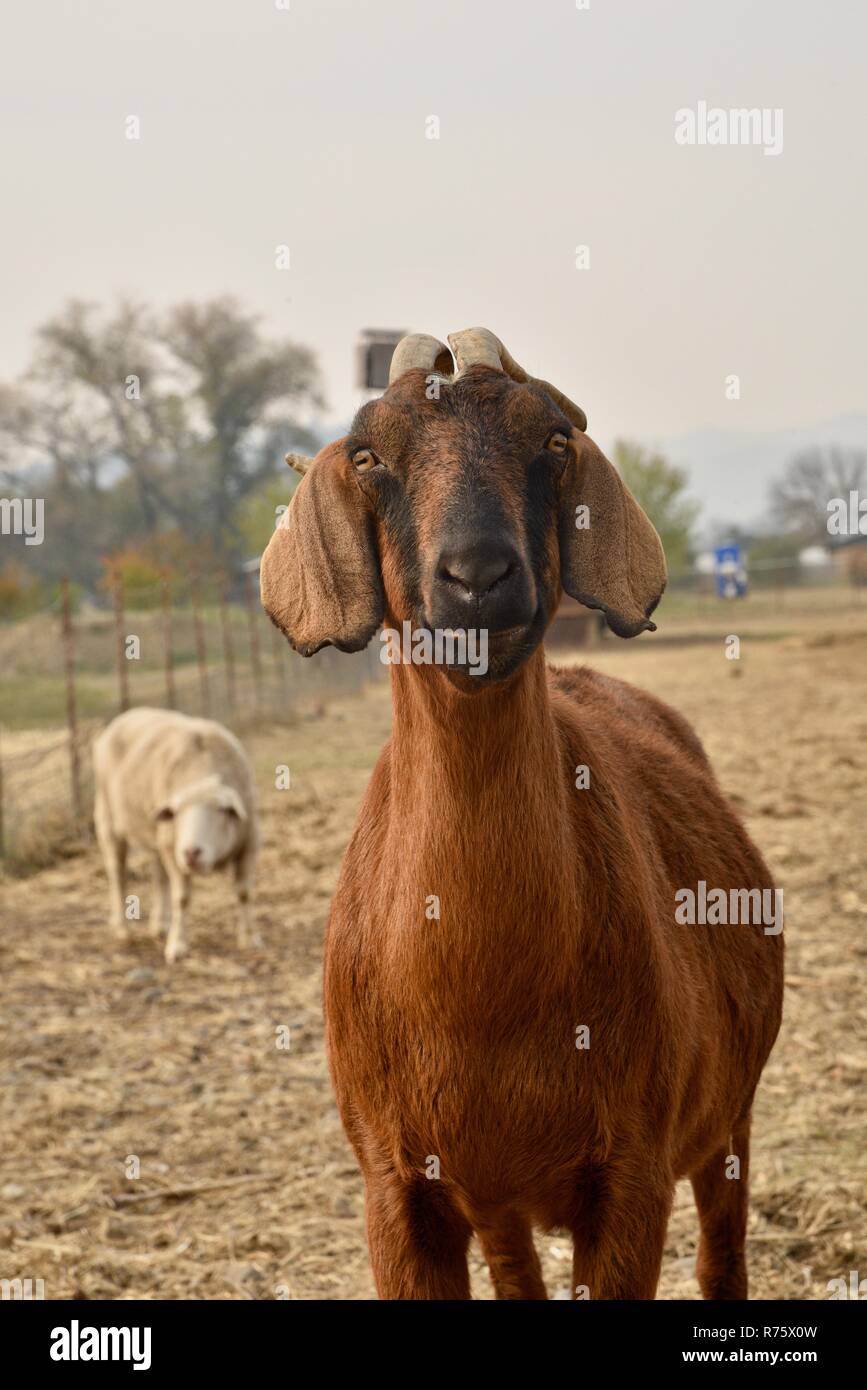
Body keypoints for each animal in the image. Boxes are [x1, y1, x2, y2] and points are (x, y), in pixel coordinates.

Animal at [94, 711, 258, 961]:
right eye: (177, 812)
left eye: (221, 810)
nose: (191, 852)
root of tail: (125, 716)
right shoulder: (173, 850)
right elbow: (182, 898)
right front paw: (178, 945)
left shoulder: (249, 842)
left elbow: (244, 892)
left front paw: (250, 939)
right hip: (109, 820)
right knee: (117, 874)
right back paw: (122, 928)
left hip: (156, 836)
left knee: (158, 877)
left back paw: (160, 925)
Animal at [261, 330, 783, 1295]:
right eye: (367, 456)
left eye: (550, 440)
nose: (478, 577)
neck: (482, 994)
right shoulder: (398, 1191)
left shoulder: (632, 1177)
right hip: (497, 1199)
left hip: (728, 1117)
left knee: (722, 1250)